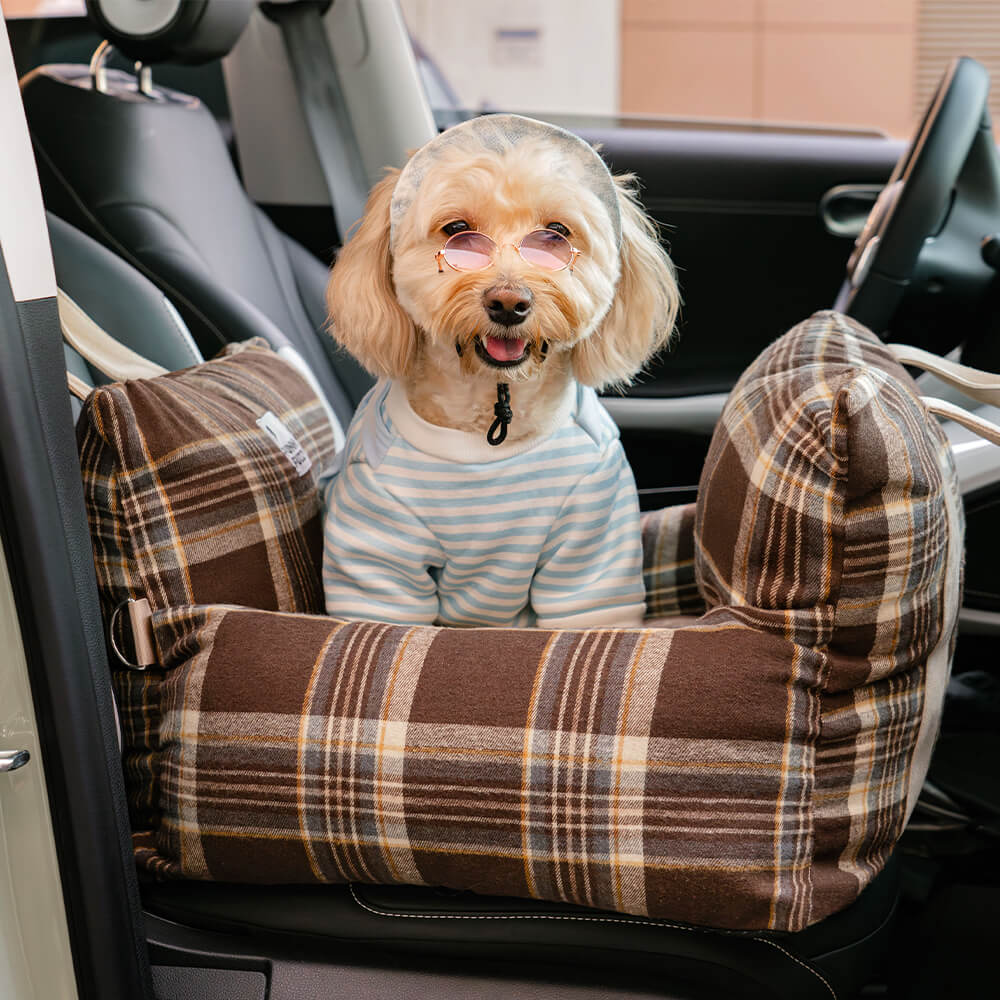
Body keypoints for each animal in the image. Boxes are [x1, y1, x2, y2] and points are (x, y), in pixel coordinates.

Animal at [320, 115, 680, 624]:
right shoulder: (376, 544)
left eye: (556, 233)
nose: (509, 303)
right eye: (456, 230)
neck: (491, 413)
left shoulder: (592, 534)